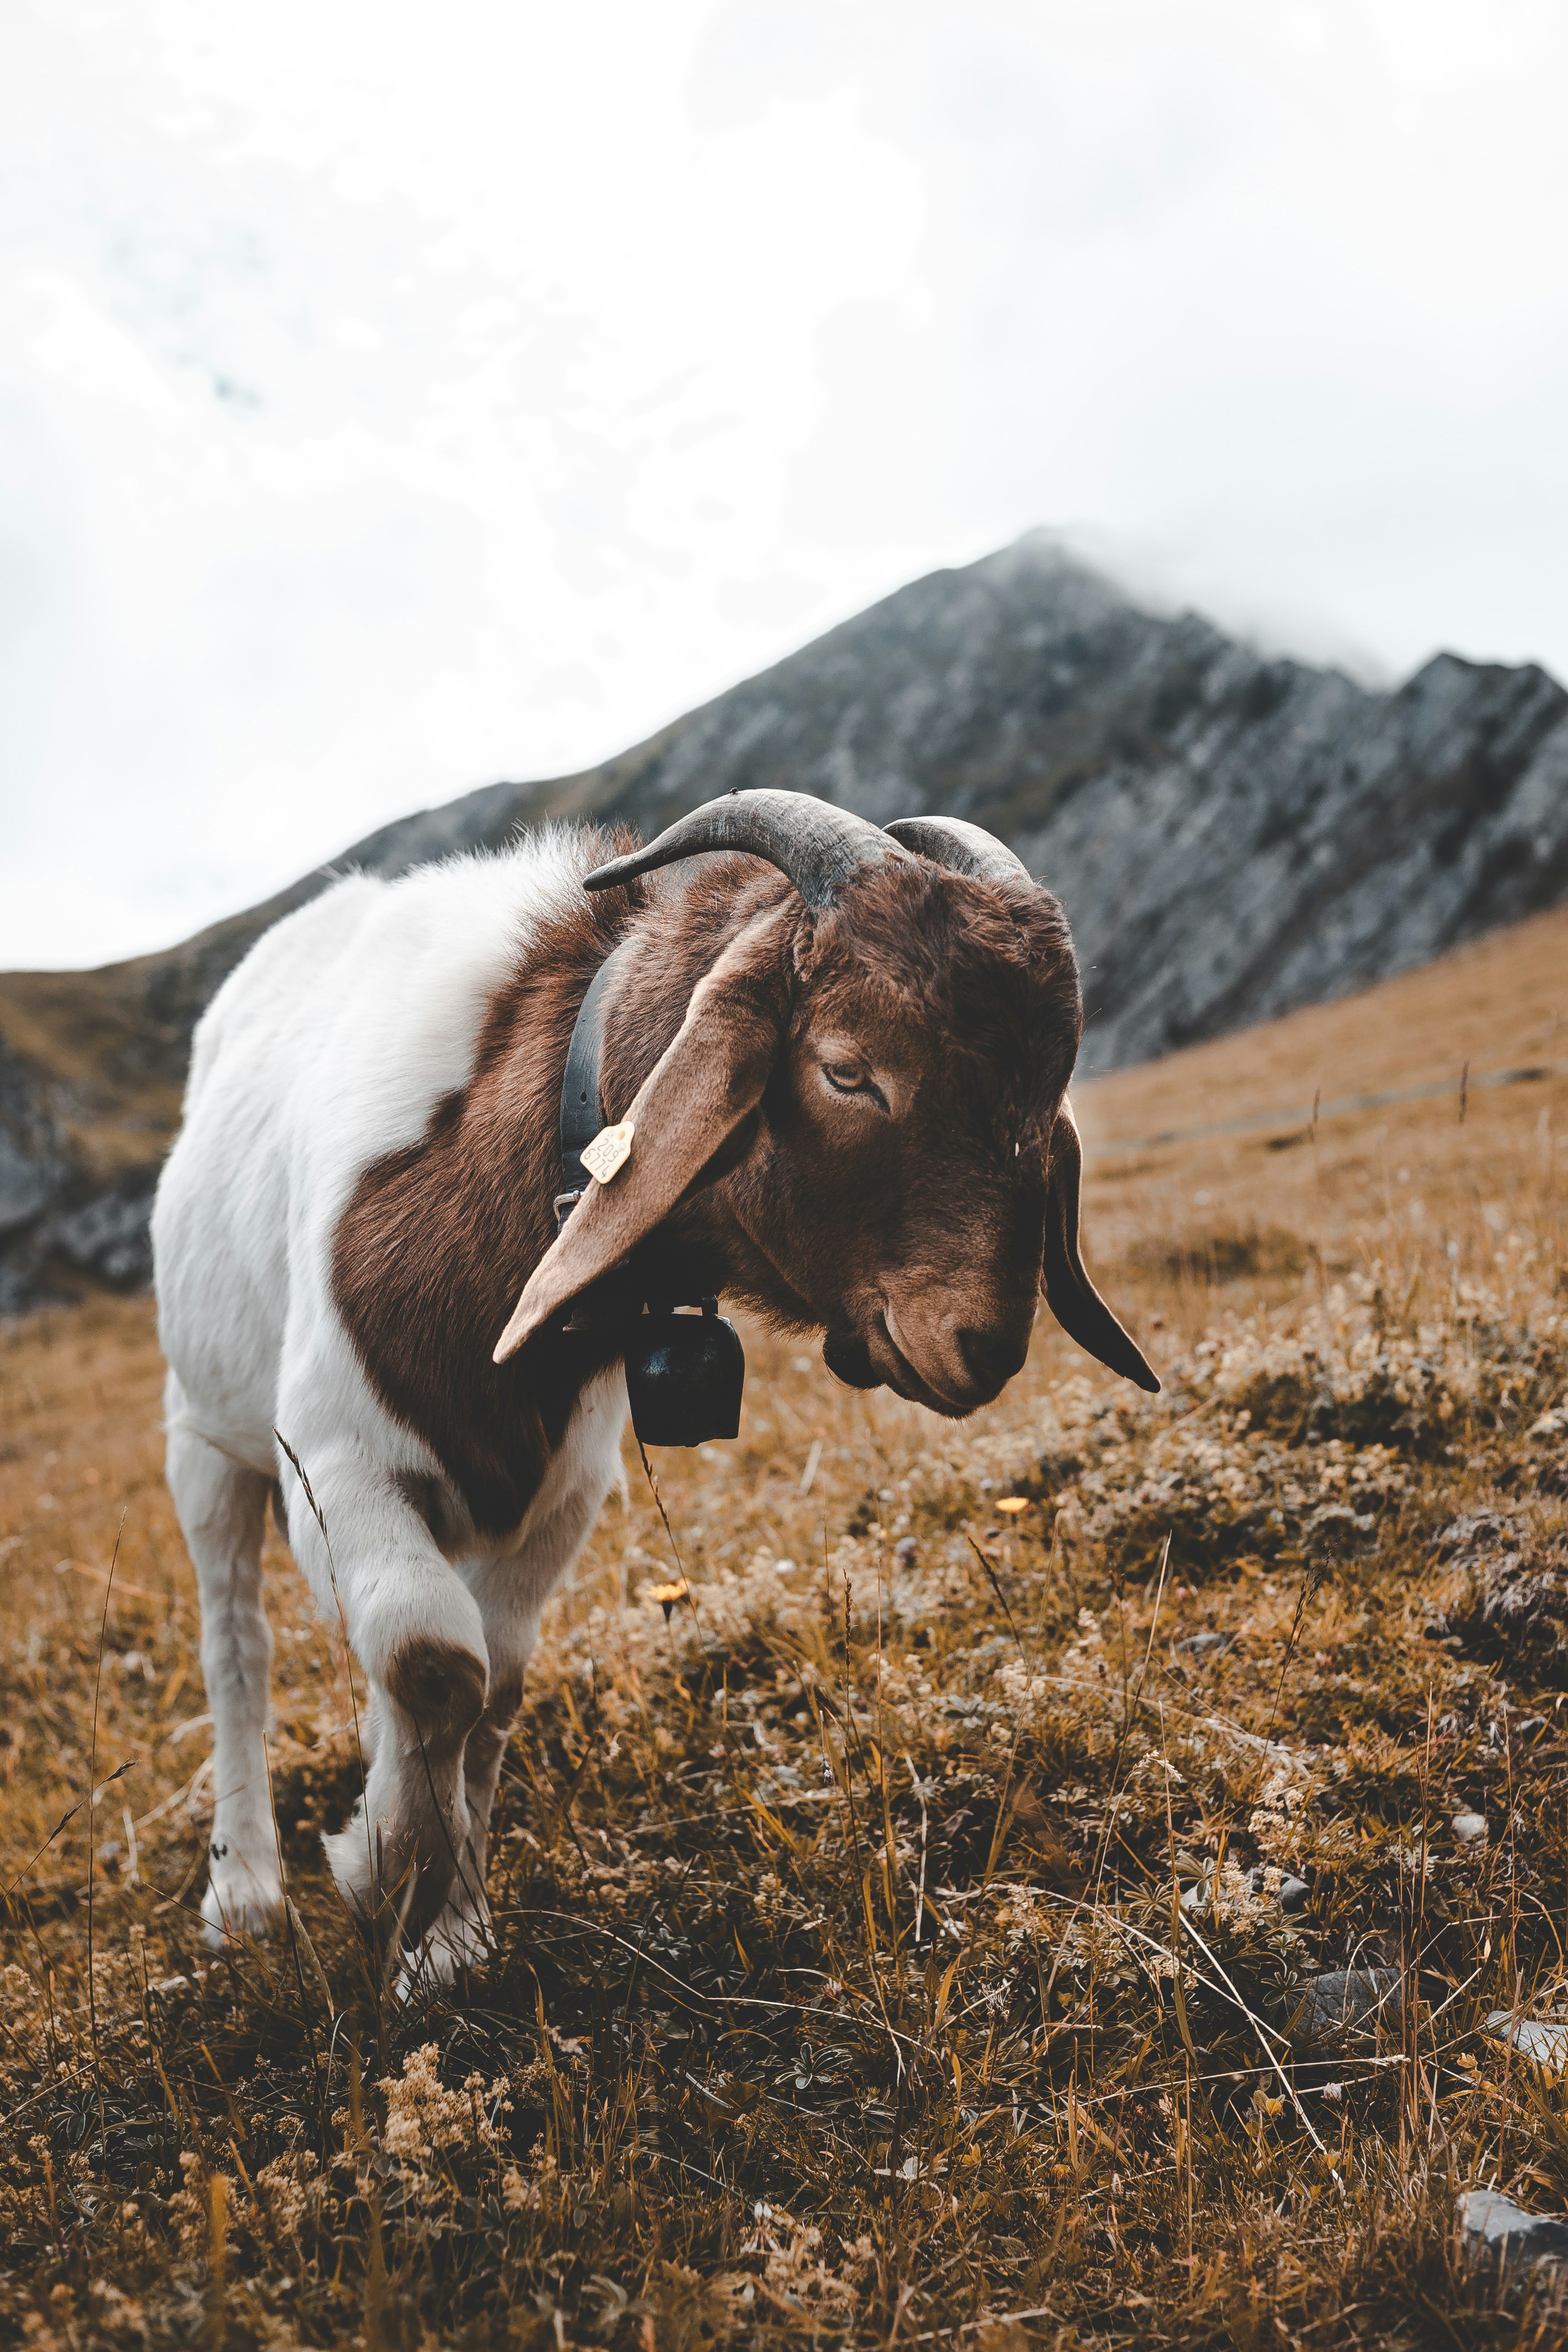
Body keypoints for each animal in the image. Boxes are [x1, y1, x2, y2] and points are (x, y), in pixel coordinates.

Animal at [152, 799, 1151, 1976]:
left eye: (1046, 1086)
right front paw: (383, 1869)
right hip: (204, 1445)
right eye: (848, 1069)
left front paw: (448, 1932)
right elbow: (433, 1660)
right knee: (236, 1648)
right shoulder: (335, 1458)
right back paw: (245, 1891)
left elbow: (492, 1684)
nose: (980, 1342)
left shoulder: (560, 1491)